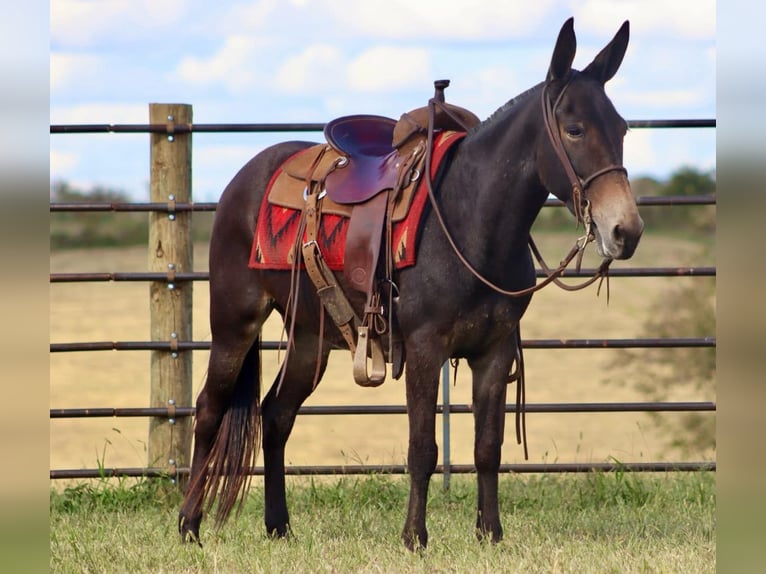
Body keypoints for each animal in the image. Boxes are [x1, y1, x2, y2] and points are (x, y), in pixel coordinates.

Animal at [178, 17, 644, 550]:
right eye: (574, 129)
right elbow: (423, 447)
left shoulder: (495, 351)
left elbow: (487, 447)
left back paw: (278, 526)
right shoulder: (424, 347)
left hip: (310, 337)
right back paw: (188, 524)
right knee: (210, 409)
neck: (469, 218)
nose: (625, 231)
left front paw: (490, 534)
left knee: (276, 415)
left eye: (622, 128)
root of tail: (243, 178)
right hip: (234, 321)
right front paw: (414, 537)